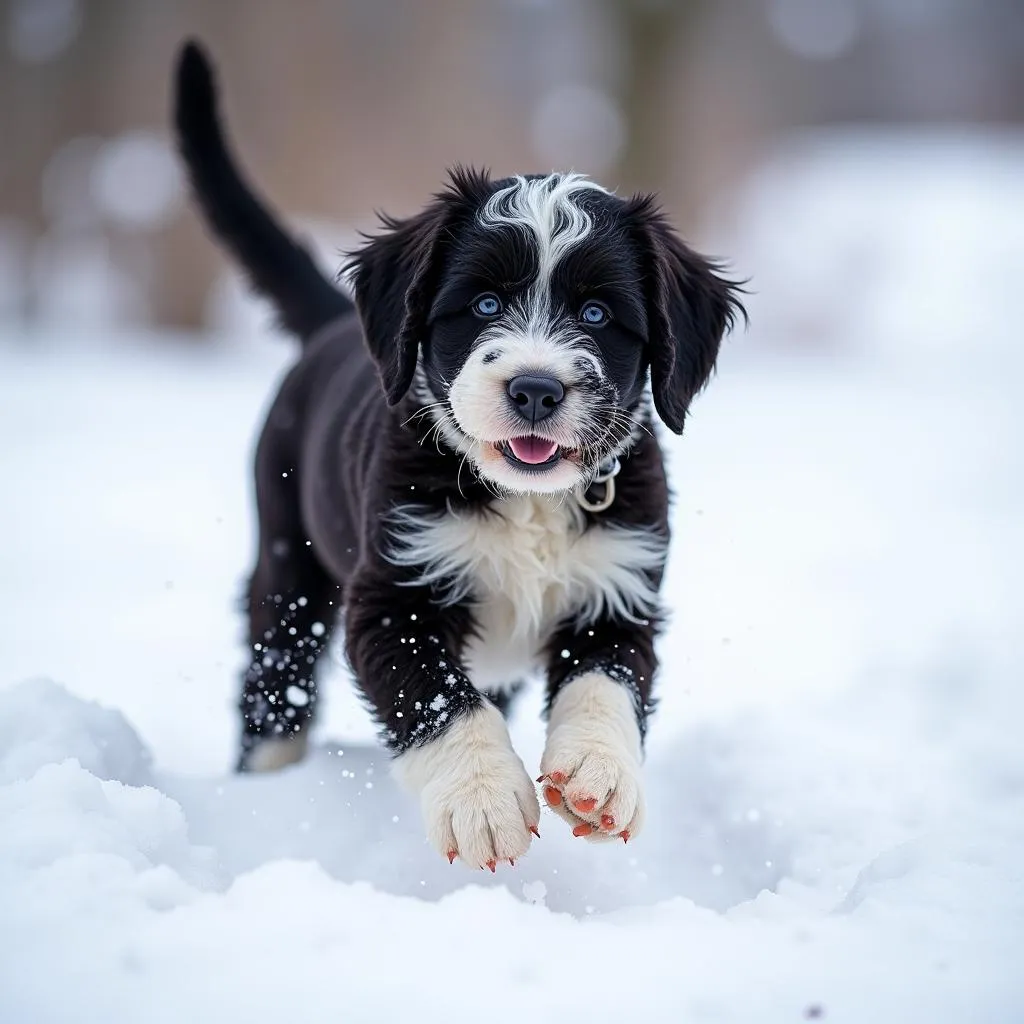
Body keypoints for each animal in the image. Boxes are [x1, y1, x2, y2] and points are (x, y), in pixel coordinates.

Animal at [172, 41, 741, 872]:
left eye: (597, 313)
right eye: (483, 304)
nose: (535, 388)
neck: (528, 503)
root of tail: (332, 327)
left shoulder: (621, 585)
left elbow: (607, 681)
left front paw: (600, 776)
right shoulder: (393, 592)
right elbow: (437, 696)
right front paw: (484, 804)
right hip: (287, 557)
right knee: (275, 680)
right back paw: (267, 784)